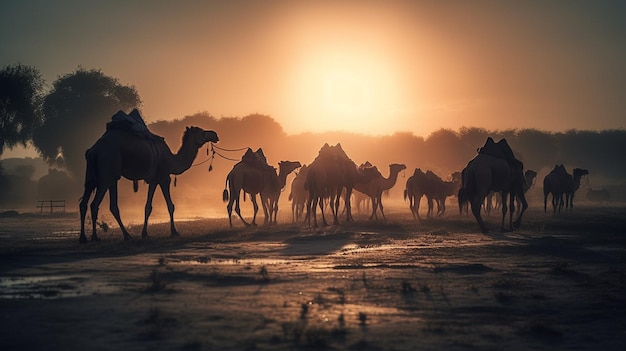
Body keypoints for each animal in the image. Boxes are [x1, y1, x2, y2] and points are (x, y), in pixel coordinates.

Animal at [79, 111, 218, 243]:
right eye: (201, 132)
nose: (215, 134)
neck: (172, 160)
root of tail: (93, 150)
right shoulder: (163, 178)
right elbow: (169, 205)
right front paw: (173, 232)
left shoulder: (153, 180)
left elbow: (148, 207)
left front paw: (145, 233)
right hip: (106, 173)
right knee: (94, 204)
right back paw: (96, 237)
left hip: (97, 177)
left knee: (91, 203)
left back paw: (89, 238)